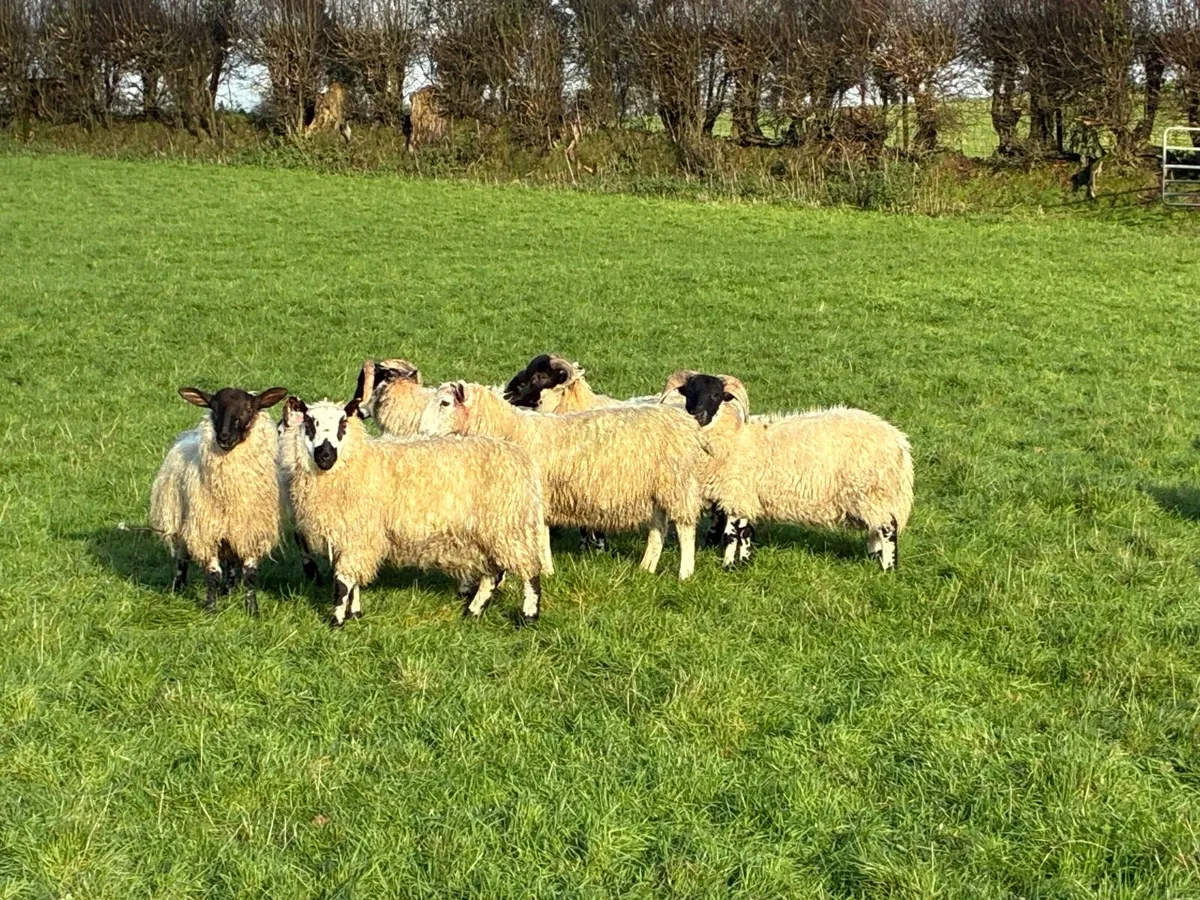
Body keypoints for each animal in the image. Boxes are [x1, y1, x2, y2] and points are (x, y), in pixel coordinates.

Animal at [150, 385, 289, 614]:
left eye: (249, 408)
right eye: (213, 407)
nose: (224, 437)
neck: (229, 495)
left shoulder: (250, 532)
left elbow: (250, 575)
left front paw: (252, 610)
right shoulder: (206, 532)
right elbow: (213, 575)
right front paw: (211, 609)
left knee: (230, 564)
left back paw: (228, 590)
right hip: (181, 522)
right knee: (182, 558)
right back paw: (178, 587)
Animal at [279, 394, 547, 626]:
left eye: (342, 424)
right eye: (310, 424)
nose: (326, 456)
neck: (356, 464)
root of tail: (522, 457)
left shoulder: (357, 533)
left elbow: (342, 583)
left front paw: (337, 621)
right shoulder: (353, 536)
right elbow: (352, 579)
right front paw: (354, 613)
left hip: (507, 525)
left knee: (529, 570)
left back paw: (528, 616)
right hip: (487, 532)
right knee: (493, 574)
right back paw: (473, 611)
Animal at [419, 381, 707, 580]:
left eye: (445, 403)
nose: (421, 431)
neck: (512, 431)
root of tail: (687, 423)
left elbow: (537, 536)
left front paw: (538, 571)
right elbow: (541, 535)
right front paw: (546, 570)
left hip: (677, 482)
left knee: (685, 528)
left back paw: (685, 573)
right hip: (658, 488)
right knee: (659, 528)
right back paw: (646, 567)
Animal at [668, 372, 913, 570]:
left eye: (716, 395)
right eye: (690, 392)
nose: (698, 416)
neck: (735, 437)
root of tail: (898, 439)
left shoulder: (736, 493)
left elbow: (730, 535)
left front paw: (728, 566)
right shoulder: (745, 497)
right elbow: (744, 534)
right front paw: (743, 562)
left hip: (872, 490)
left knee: (888, 528)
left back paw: (888, 568)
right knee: (877, 529)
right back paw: (874, 557)